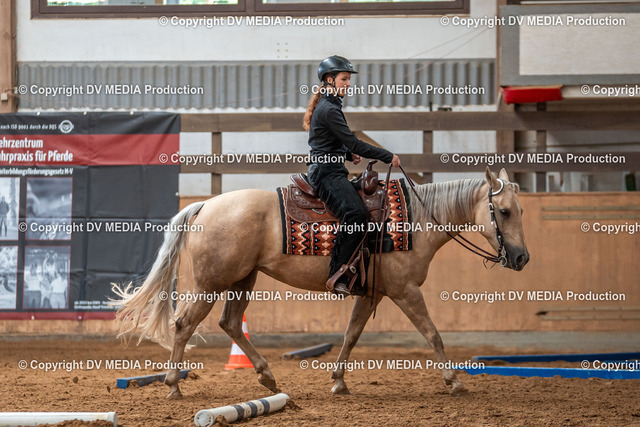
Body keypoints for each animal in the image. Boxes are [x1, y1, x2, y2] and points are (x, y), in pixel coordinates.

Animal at [112, 167, 529, 399]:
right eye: (504, 211)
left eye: (520, 210)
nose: (522, 258)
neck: (416, 220)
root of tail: (205, 205)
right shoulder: (405, 291)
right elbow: (433, 334)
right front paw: (454, 382)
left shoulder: (372, 293)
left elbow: (351, 335)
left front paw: (339, 382)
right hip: (210, 283)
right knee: (184, 324)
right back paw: (173, 385)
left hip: (243, 279)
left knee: (229, 323)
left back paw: (267, 377)